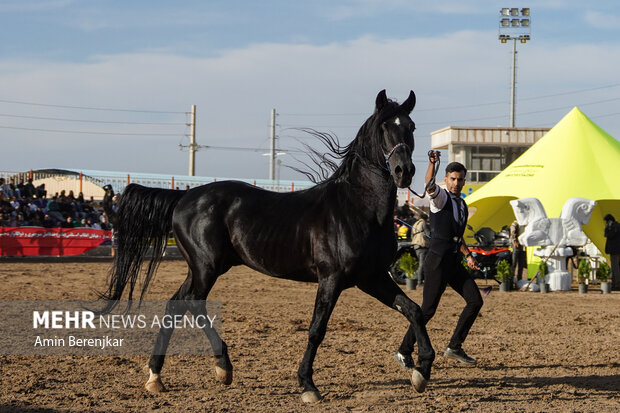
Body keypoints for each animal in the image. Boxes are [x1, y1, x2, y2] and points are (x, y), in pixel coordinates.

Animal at [99, 90, 434, 402]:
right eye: (383, 127)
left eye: (411, 126)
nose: (404, 171)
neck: (357, 208)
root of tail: (184, 197)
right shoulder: (332, 278)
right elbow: (316, 329)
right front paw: (307, 385)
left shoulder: (371, 278)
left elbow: (414, 310)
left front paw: (421, 370)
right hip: (206, 268)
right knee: (193, 303)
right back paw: (222, 367)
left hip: (201, 268)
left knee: (175, 305)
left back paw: (157, 376)